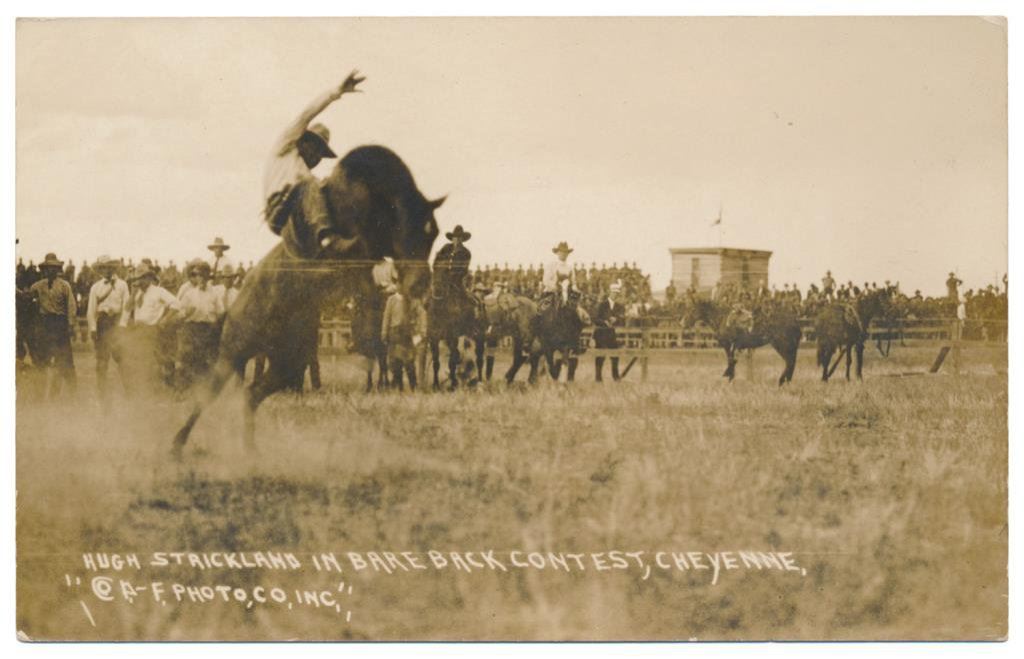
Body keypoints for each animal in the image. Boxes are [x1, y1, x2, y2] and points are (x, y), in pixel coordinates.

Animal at [172, 145, 442, 458]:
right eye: (406, 227)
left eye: (433, 233)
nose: (420, 284)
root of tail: (234, 305)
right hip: (234, 352)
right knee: (209, 393)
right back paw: (177, 445)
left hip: (288, 362)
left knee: (252, 394)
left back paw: (250, 450)